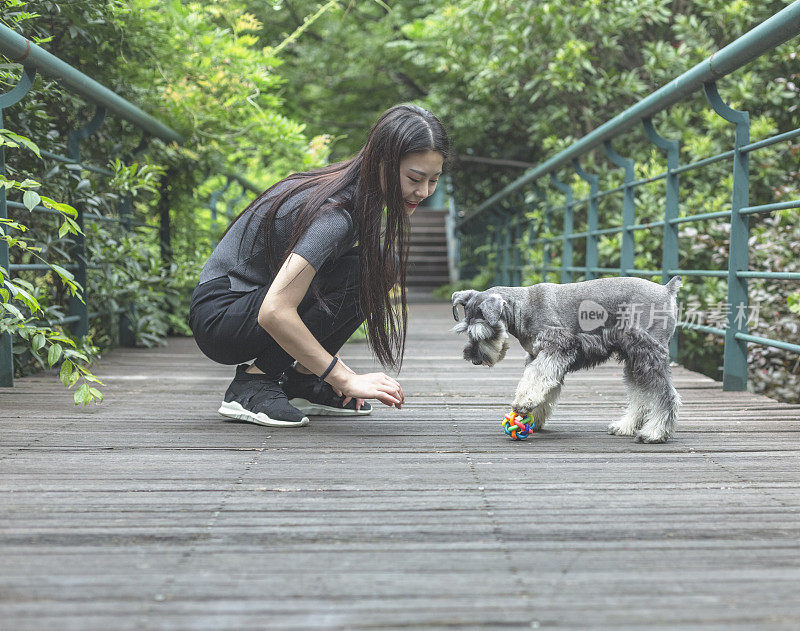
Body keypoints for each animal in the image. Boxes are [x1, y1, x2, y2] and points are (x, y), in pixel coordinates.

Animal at [454, 276, 684, 444]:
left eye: (483, 333)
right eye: (465, 330)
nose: (474, 359)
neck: (521, 308)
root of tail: (667, 289)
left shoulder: (556, 347)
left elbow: (534, 379)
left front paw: (524, 403)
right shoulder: (539, 355)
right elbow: (544, 384)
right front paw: (535, 416)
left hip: (649, 353)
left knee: (665, 394)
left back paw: (654, 433)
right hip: (635, 359)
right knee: (640, 394)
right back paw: (625, 426)